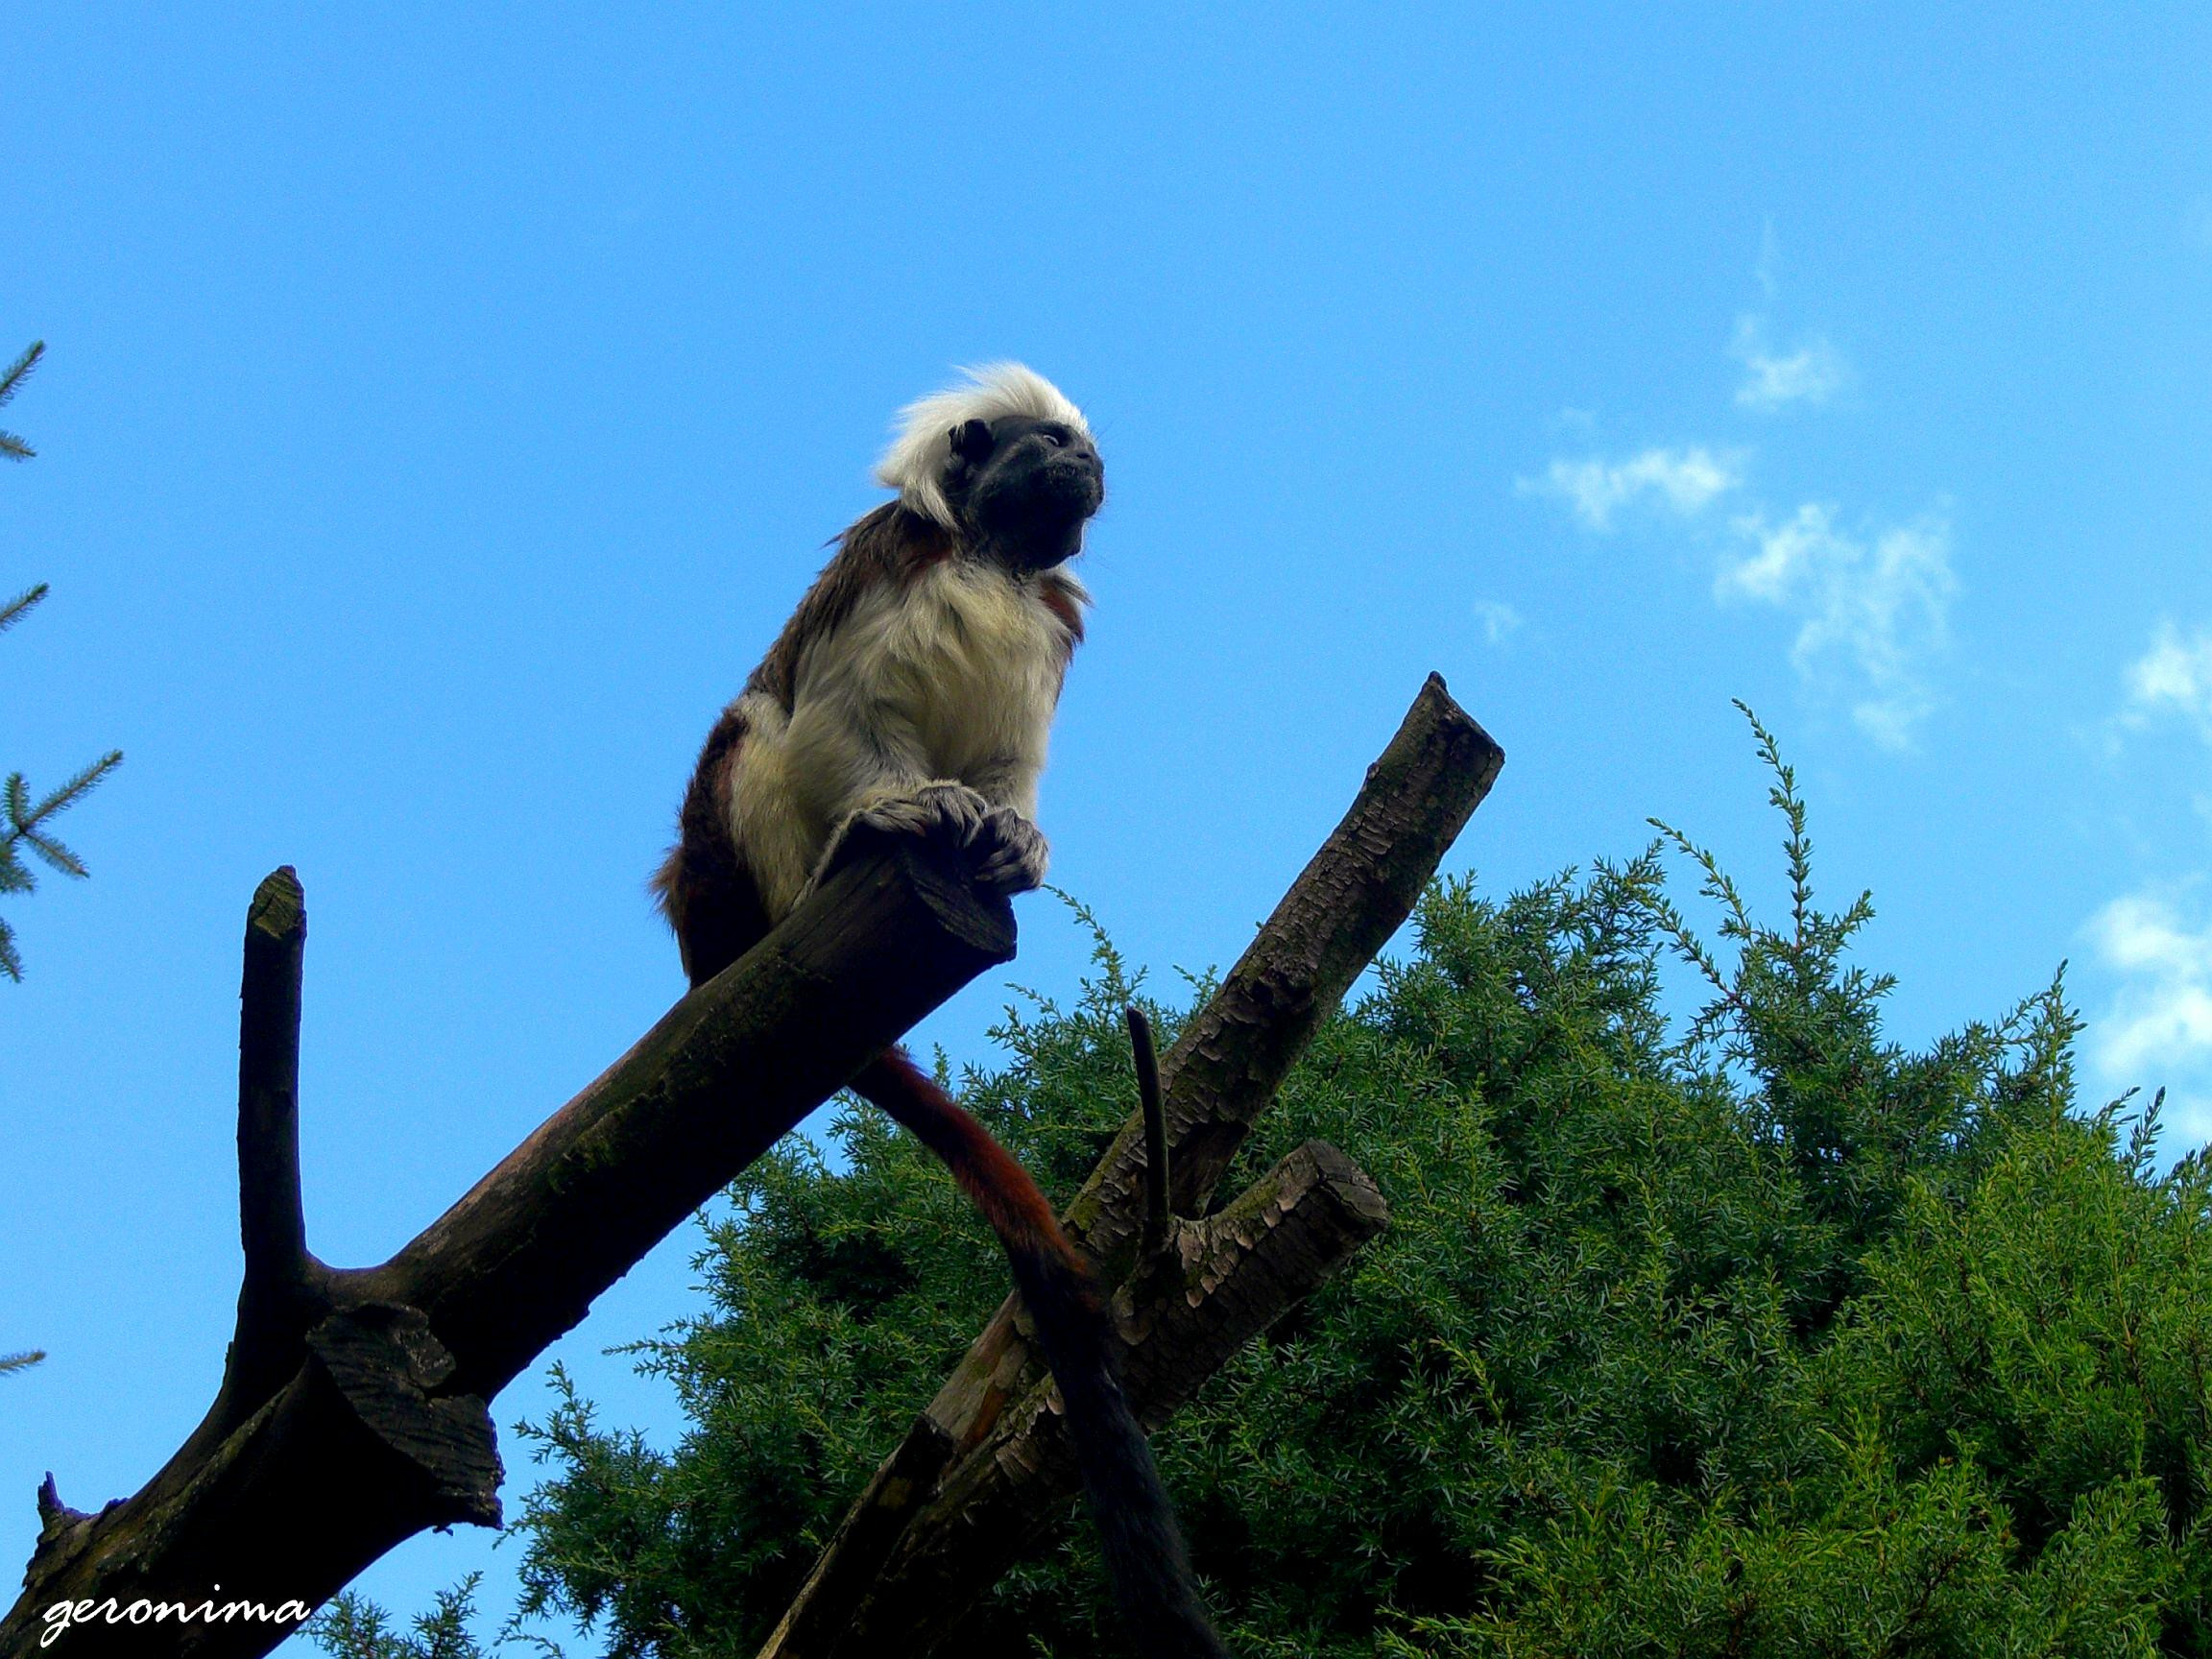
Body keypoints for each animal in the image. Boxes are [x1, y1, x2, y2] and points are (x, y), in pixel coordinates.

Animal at [654, 367, 1230, 1659]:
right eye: (1053, 446)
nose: (1087, 470)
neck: (993, 561)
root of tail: (704, 957)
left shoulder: (1041, 633)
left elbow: (1009, 766)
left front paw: (1014, 842)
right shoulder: (889, 573)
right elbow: (840, 720)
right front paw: (901, 807)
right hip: (727, 888)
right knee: (754, 728)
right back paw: (838, 865)